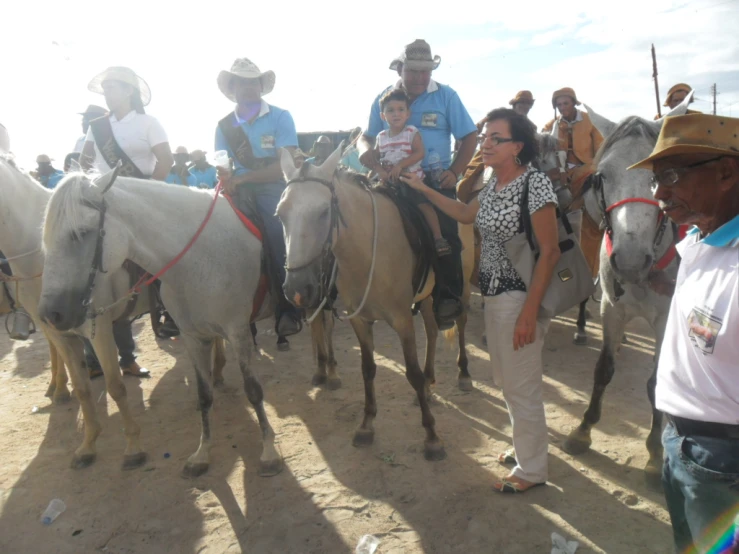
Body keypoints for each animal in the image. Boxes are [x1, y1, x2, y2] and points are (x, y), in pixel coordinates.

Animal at [38, 171, 284, 474]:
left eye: (80, 233)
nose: (51, 314)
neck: (200, 257)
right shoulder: (192, 336)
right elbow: (203, 395)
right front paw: (202, 454)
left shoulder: (238, 332)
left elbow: (253, 390)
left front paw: (269, 451)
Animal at [278, 144, 474, 460]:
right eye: (280, 214)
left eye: (324, 212)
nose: (296, 289)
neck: (368, 251)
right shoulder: (359, 319)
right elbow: (368, 369)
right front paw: (366, 425)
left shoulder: (402, 320)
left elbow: (411, 373)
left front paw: (432, 437)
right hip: (427, 297)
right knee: (432, 331)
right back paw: (431, 383)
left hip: (464, 285)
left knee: (461, 322)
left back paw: (464, 374)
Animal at [560, 96, 692, 484]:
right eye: (601, 176)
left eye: (663, 175)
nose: (631, 260)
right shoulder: (611, 308)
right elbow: (603, 369)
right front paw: (583, 431)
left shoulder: (665, 319)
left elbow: (656, 382)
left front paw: (654, 453)